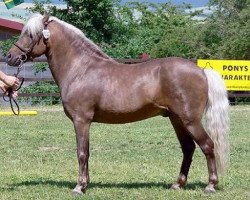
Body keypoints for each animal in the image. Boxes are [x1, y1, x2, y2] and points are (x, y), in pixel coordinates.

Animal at [6, 14, 229, 195]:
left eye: (30, 35)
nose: (10, 56)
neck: (81, 69)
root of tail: (201, 70)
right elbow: (87, 153)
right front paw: (86, 183)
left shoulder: (81, 120)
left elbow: (81, 153)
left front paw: (79, 187)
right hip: (177, 120)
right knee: (188, 148)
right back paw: (178, 184)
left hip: (190, 120)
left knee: (208, 146)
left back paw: (210, 185)